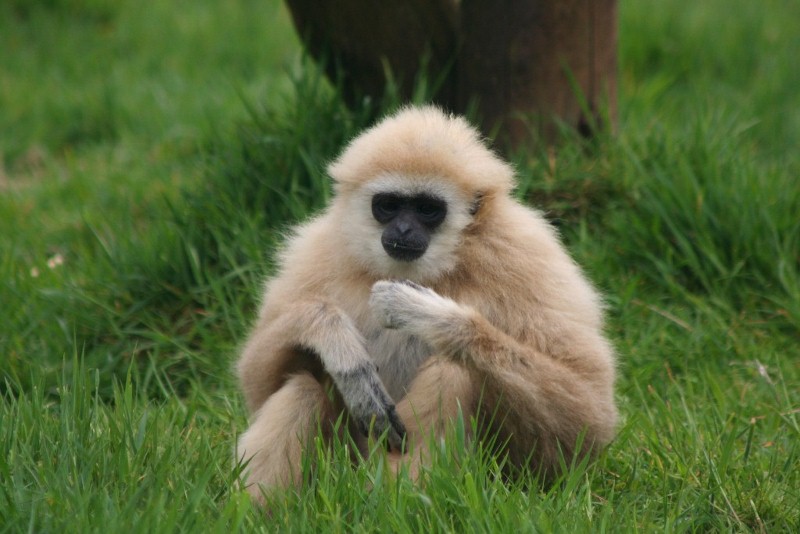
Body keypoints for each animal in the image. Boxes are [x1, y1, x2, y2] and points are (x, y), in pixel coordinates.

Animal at [235, 106, 618, 501]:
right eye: (388, 205)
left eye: (427, 209)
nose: (403, 230)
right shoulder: (316, 251)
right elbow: (256, 383)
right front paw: (336, 343)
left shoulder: (527, 254)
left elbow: (589, 417)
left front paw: (426, 312)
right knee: (302, 387)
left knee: (453, 369)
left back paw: (397, 498)